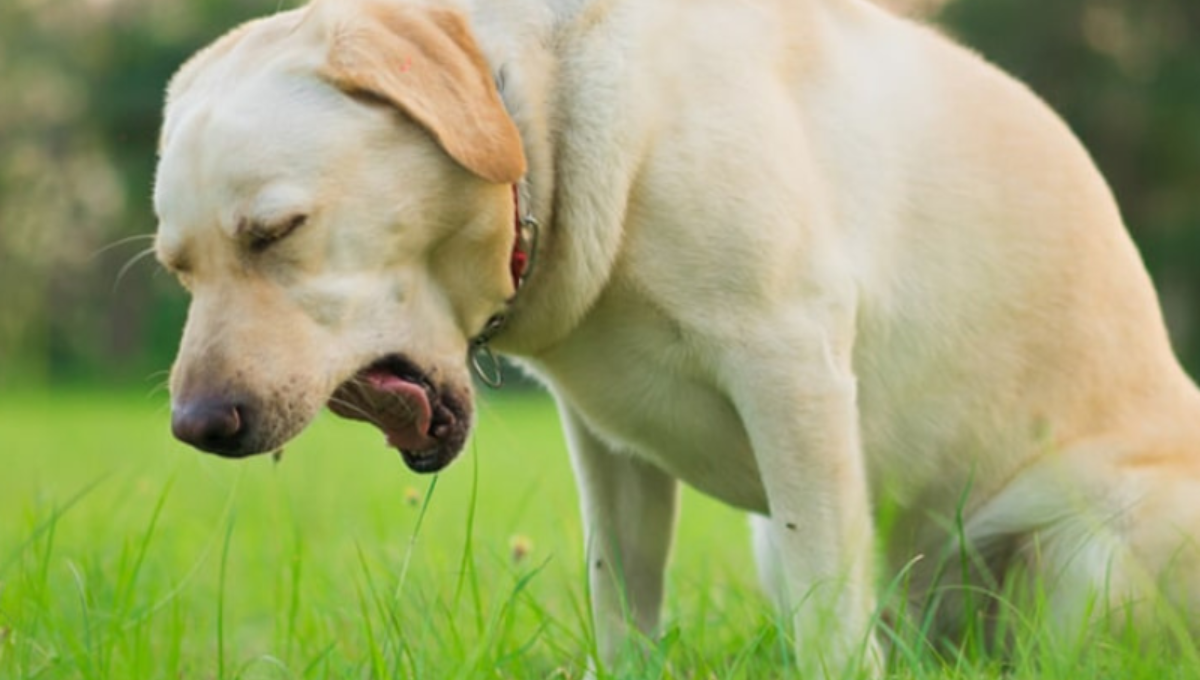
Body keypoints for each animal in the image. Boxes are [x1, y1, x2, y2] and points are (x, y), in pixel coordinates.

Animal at [154, 0, 1200, 676]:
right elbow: (623, 597)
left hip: (1089, 547)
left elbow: (829, 619)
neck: (546, 116)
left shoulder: (792, 372)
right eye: (178, 268)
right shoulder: (605, 446)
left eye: (276, 231)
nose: (199, 426)